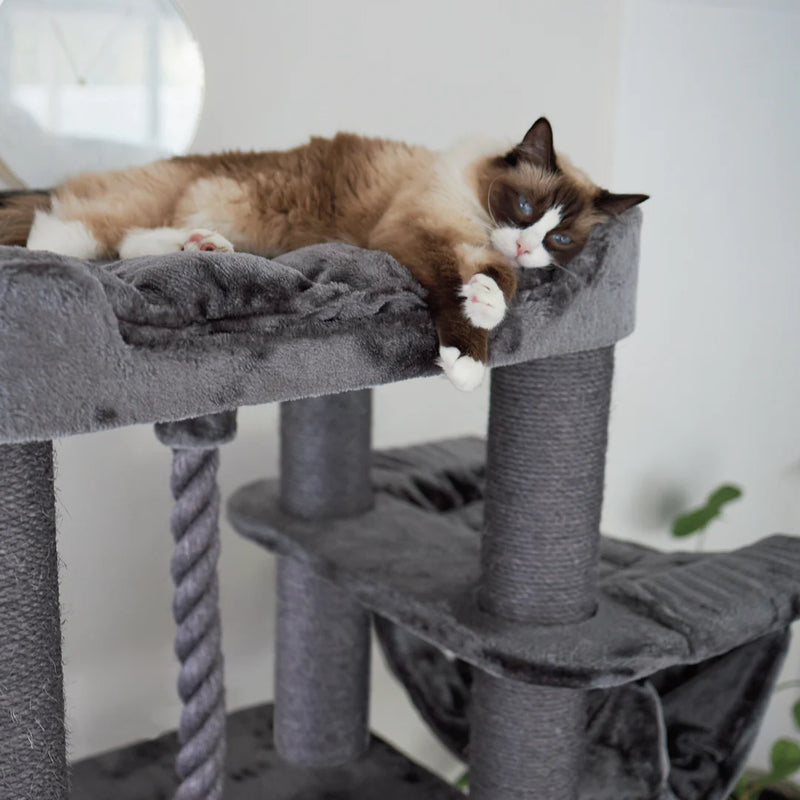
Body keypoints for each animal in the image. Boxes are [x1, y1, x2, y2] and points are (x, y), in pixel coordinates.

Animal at [0, 119, 644, 390]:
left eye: (561, 240)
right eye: (525, 206)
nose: (526, 243)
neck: (480, 232)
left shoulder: (492, 255)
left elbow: (501, 283)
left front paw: (487, 298)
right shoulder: (413, 233)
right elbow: (453, 285)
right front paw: (468, 356)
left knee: (134, 243)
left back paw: (203, 246)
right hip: (133, 209)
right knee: (59, 236)